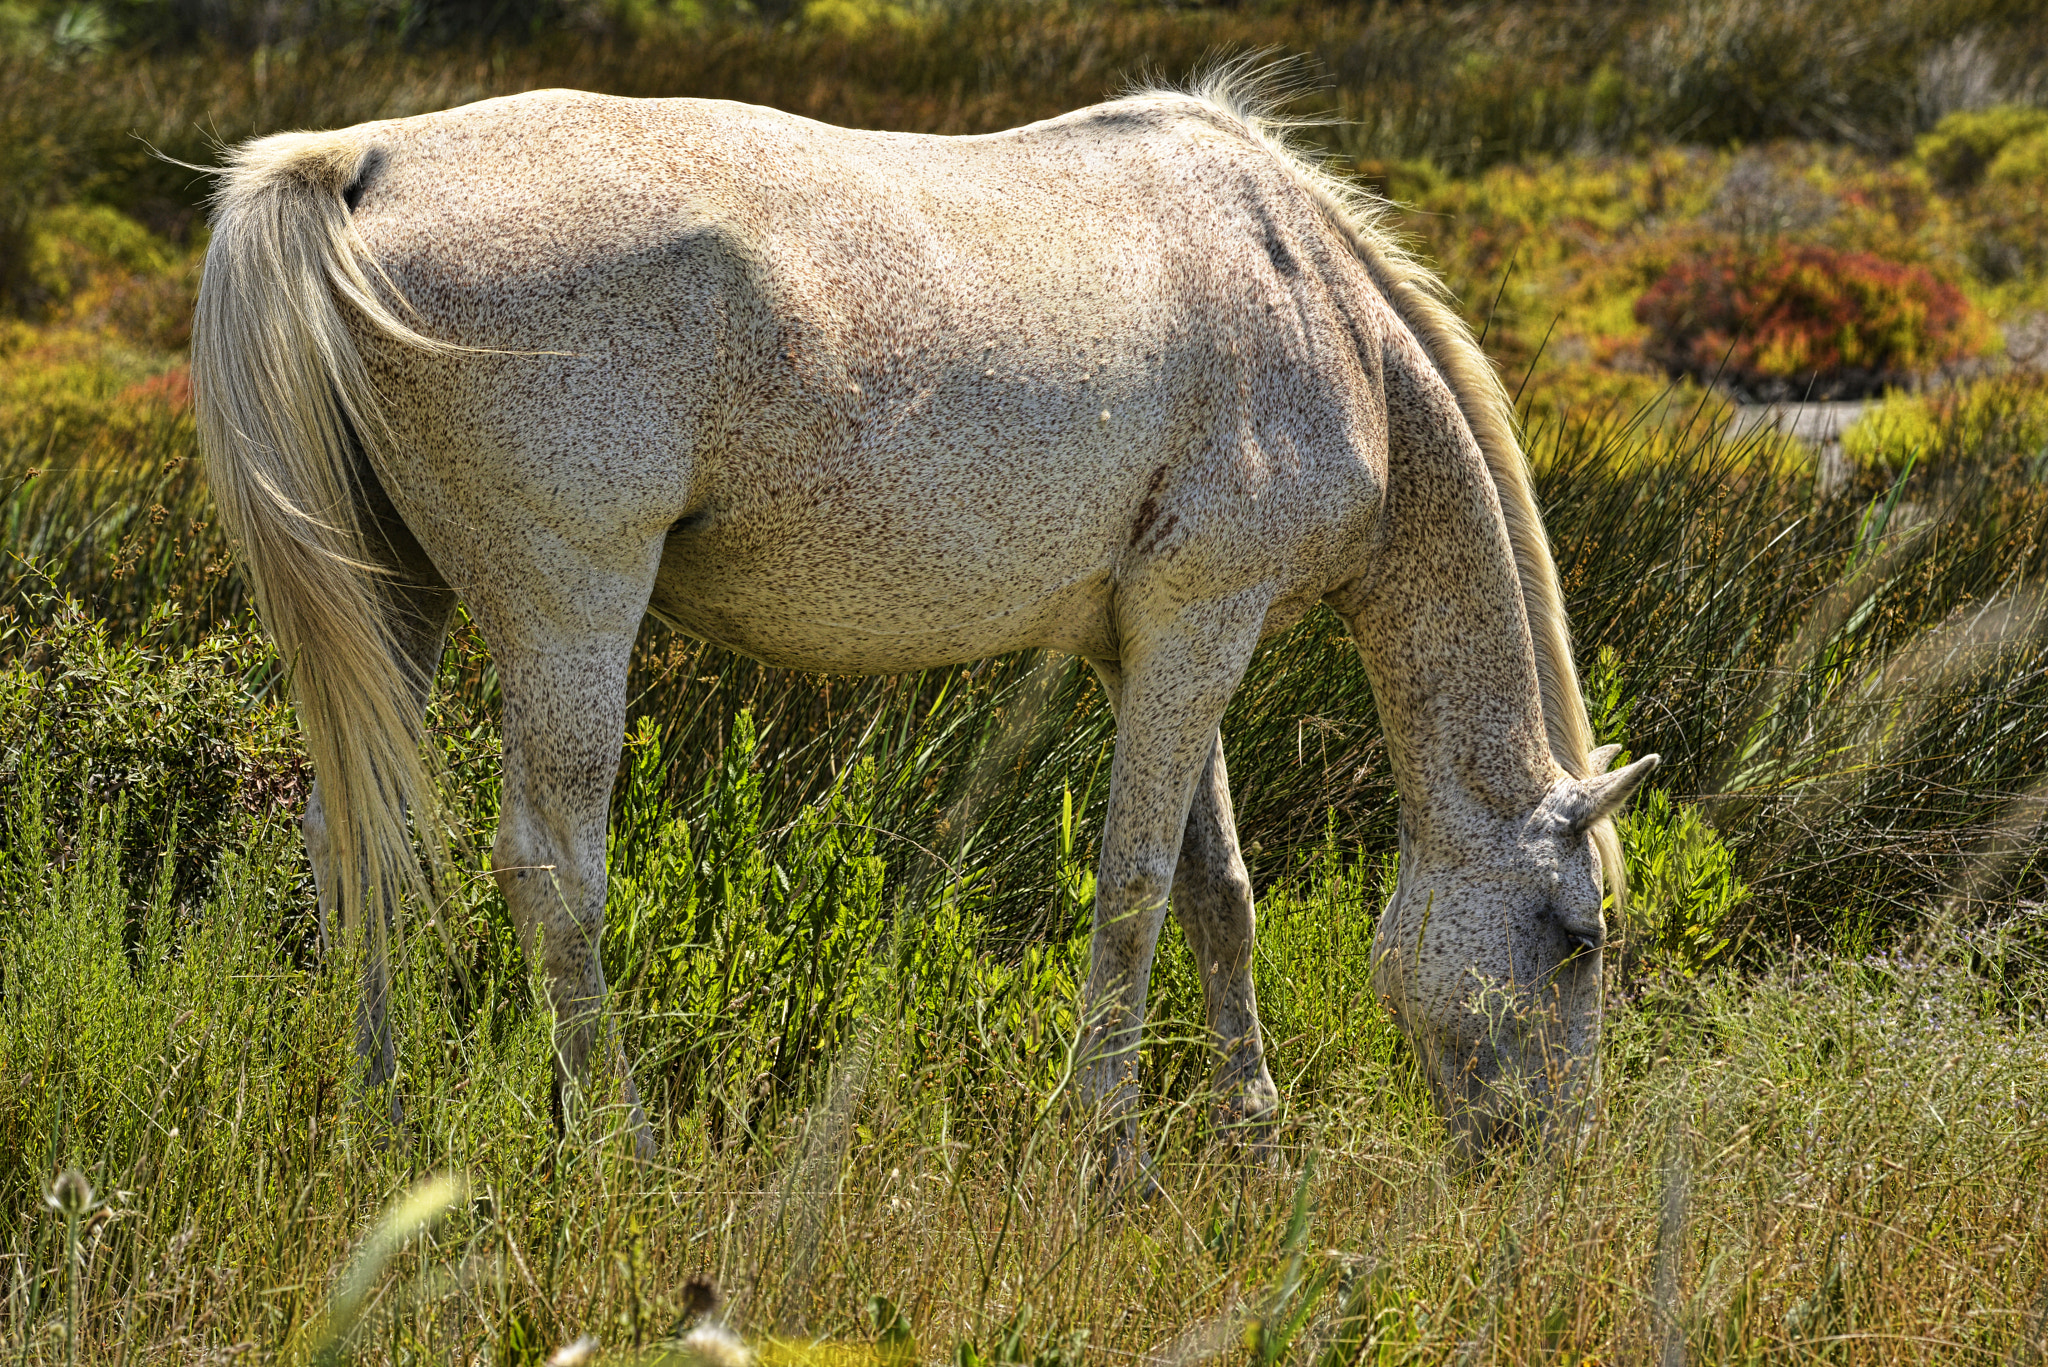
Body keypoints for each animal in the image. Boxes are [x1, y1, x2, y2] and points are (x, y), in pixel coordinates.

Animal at [192, 72, 1654, 1164]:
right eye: (1577, 937)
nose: (1548, 1159)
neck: (1312, 304)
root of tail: (365, 158)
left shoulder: (1154, 646)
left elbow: (1215, 890)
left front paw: (1250, 1132)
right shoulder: (1203, 626)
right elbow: (1135, 886)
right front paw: (1103, 1146)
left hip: (402, 599)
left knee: (358, 842)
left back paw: (384, 1125)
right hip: (568, 615)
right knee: (552, 869)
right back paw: (619, 1143)